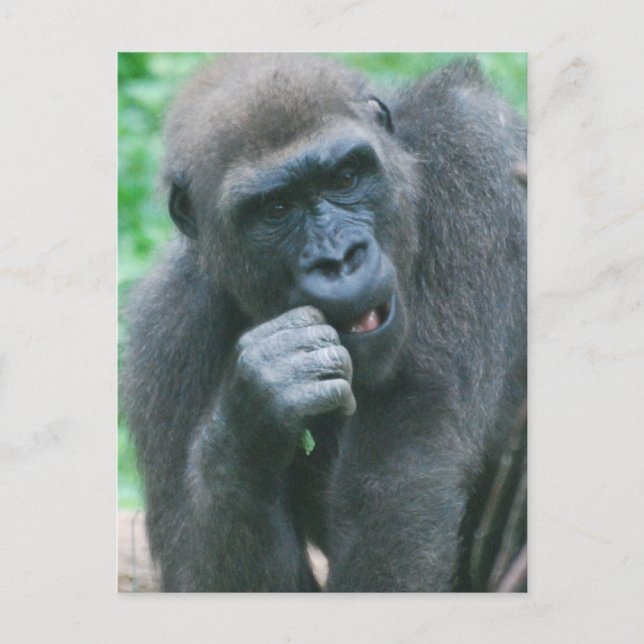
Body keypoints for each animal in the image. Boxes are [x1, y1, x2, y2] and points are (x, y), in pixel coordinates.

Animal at [122, 54, 526, 591]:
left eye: (344, 180)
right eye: (276, 209)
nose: (338, 259)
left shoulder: (470, 146)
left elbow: (396, 475)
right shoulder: (164, 333)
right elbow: (202, 575)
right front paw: (253, 413)